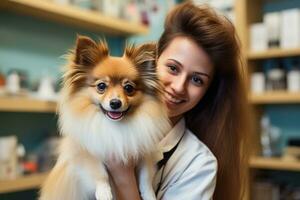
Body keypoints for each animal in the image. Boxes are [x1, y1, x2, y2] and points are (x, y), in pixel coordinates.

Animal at [39, 36, 171, 200]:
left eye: (129, 88)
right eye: (101, 86)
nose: (115, 103)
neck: (115, 125)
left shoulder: (143, 153)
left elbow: (145, 177)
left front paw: (150, 195)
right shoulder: (87, 153)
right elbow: (99, 173)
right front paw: (104, 193)